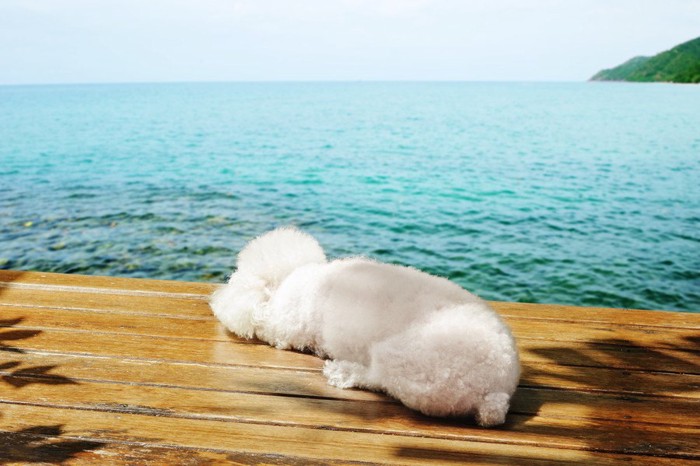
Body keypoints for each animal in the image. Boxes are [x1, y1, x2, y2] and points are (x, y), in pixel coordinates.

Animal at [211, 228, 524, 428]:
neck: (294, 274)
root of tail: (496, 392)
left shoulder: (283, 328)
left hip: (404, 360)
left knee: (377, 379)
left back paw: (343, 372)